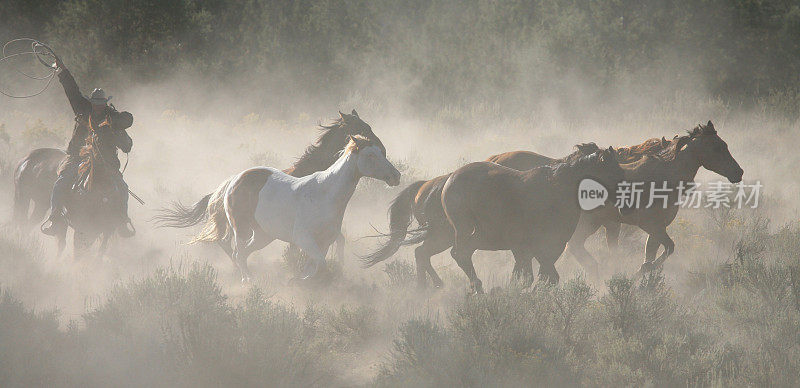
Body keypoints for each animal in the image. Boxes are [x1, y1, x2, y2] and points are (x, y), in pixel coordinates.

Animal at [155, 110, 386, 270]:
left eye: (369, 126)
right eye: (362, 128)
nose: (383, 149)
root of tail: (223, 186)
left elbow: (338, 240)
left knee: (226, 243)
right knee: (229, 244)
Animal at [174, 135, 400, 280]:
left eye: (381, 152)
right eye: (371, 155)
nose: (396, 176)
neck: (325, 194)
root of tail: (233, 180)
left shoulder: (327, 239)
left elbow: (321, 259)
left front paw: (305, 276)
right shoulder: (303, 238)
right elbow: (320, 263)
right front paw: (304, 279)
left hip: (263, 235)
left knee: (244, 254)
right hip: (241, 229)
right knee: (238, 253)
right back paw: (248, 281)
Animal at [444, 147, 624, 292]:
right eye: (612, 170)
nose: (624, 198)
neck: (558, 189)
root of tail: (450, 180)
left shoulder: (551, 246)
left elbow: (541, 277)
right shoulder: (536, 245)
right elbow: (544, 277)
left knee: (463, 253)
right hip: (469, 230)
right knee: (461, 253)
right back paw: (478, 287)